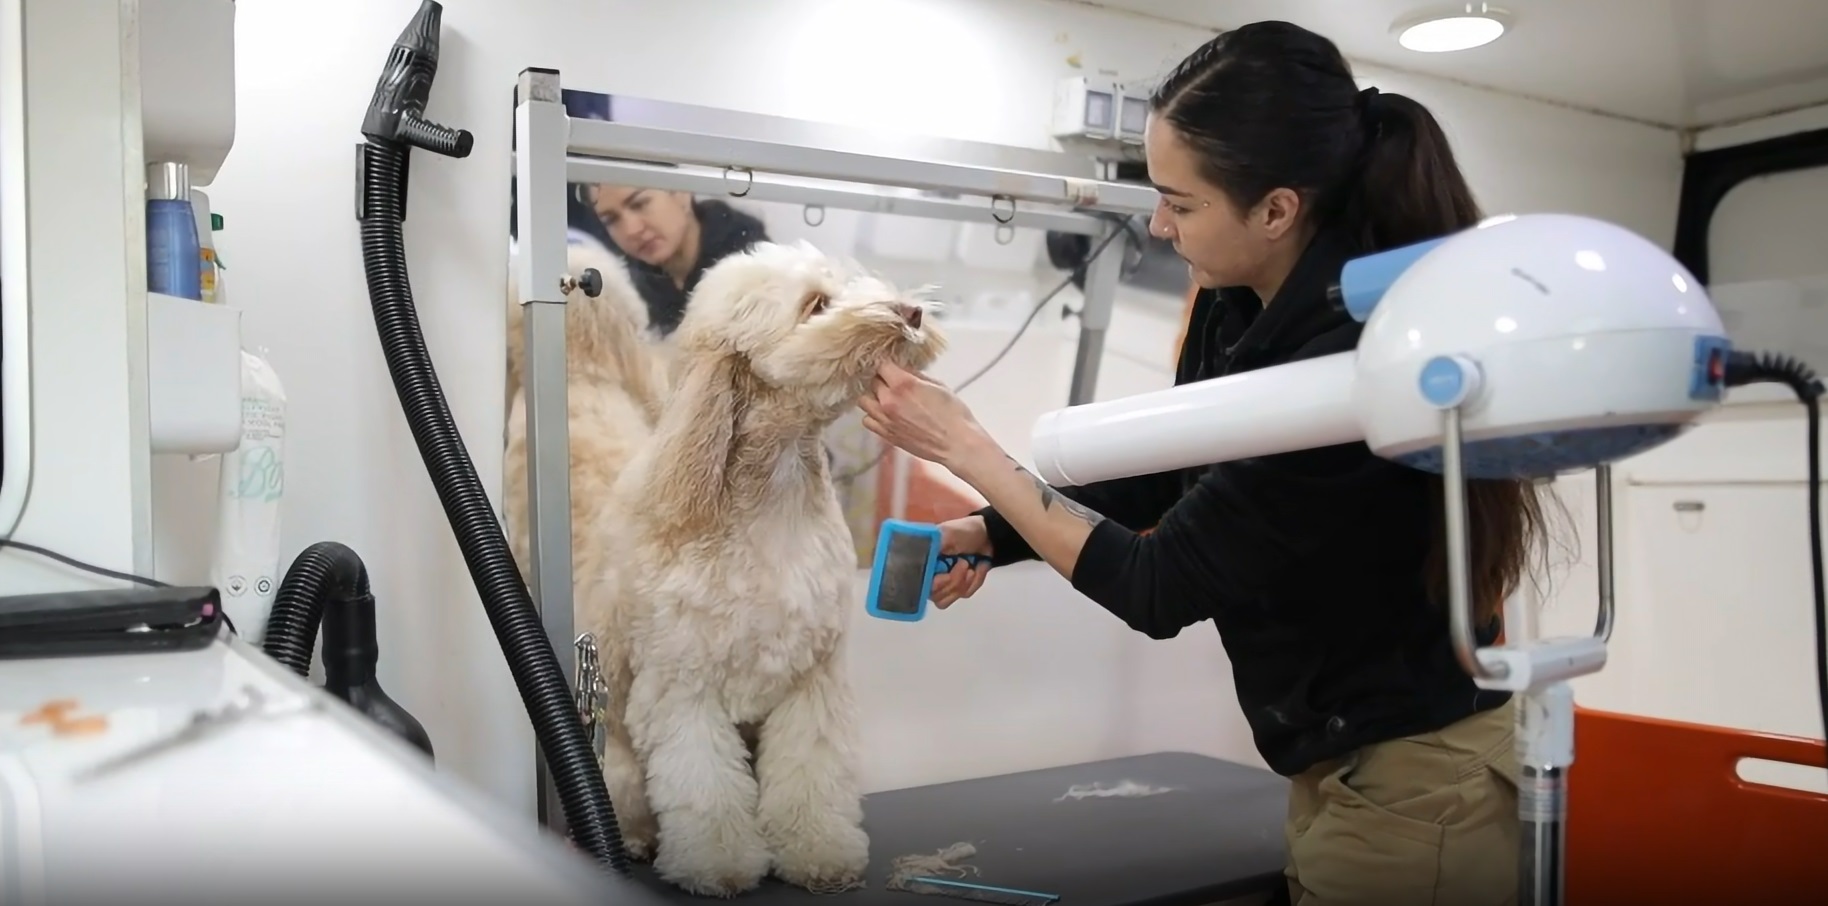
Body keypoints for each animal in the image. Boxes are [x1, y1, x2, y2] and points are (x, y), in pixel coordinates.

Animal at [581, 242, 950, 898]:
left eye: (849, 283)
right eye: (817, 304)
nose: (910, 312)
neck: (774, 496)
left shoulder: (813, 680)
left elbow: (811, 774)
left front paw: (819, 852)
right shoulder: (682, 690)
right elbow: (704, 789)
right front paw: (718, 865)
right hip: (616, 754)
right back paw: (636, 838)